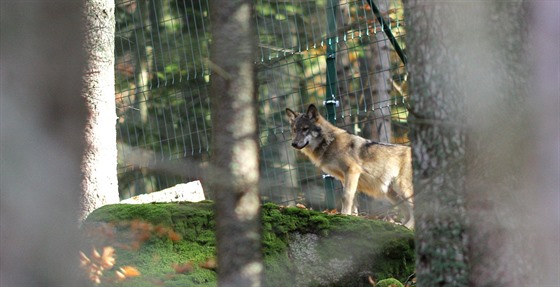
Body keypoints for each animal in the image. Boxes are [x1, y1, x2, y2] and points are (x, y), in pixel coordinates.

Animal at [286, 104, 414, 228]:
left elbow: (346, 196)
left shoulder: (352, 171)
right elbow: (353, 201)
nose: (293, 144)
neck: (330, 142)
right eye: (294, 130)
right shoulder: (345, 178)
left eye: (305, 129)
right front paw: (352, 218)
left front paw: (344, 215)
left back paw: (408, 227)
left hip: (403, 188)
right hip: (392, 194)